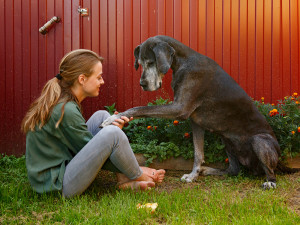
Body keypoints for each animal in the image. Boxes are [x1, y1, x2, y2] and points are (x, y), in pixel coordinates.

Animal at [101, 36, 288, 189]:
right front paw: (193, 175)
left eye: (151, 62)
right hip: (227, 140)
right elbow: (198, 153)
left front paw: (114, 117)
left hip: (259, 141)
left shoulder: (179, 108)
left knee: (270, 172)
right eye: (139, 63)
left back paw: (270, 182)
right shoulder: (196, 123)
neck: (182, 61)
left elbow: (141, 108)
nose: (142, 84)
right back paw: (209, 170)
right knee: (234, 170)